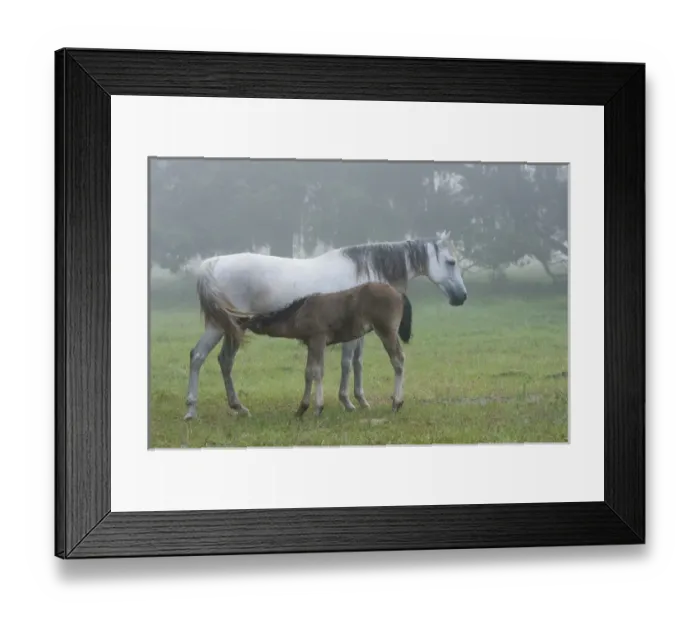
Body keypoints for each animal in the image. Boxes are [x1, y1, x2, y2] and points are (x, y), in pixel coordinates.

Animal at [241, 282, 413, 417]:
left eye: (254, 321)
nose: (243, 322)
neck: (300, 313)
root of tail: (399, 294)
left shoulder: (318, 340)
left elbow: (316, 371)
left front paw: (317, 408)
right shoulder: (312, 344)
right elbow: (309, 372)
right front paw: (302, 409)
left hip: (386, 331)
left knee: (398, 360)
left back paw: (397, 403)